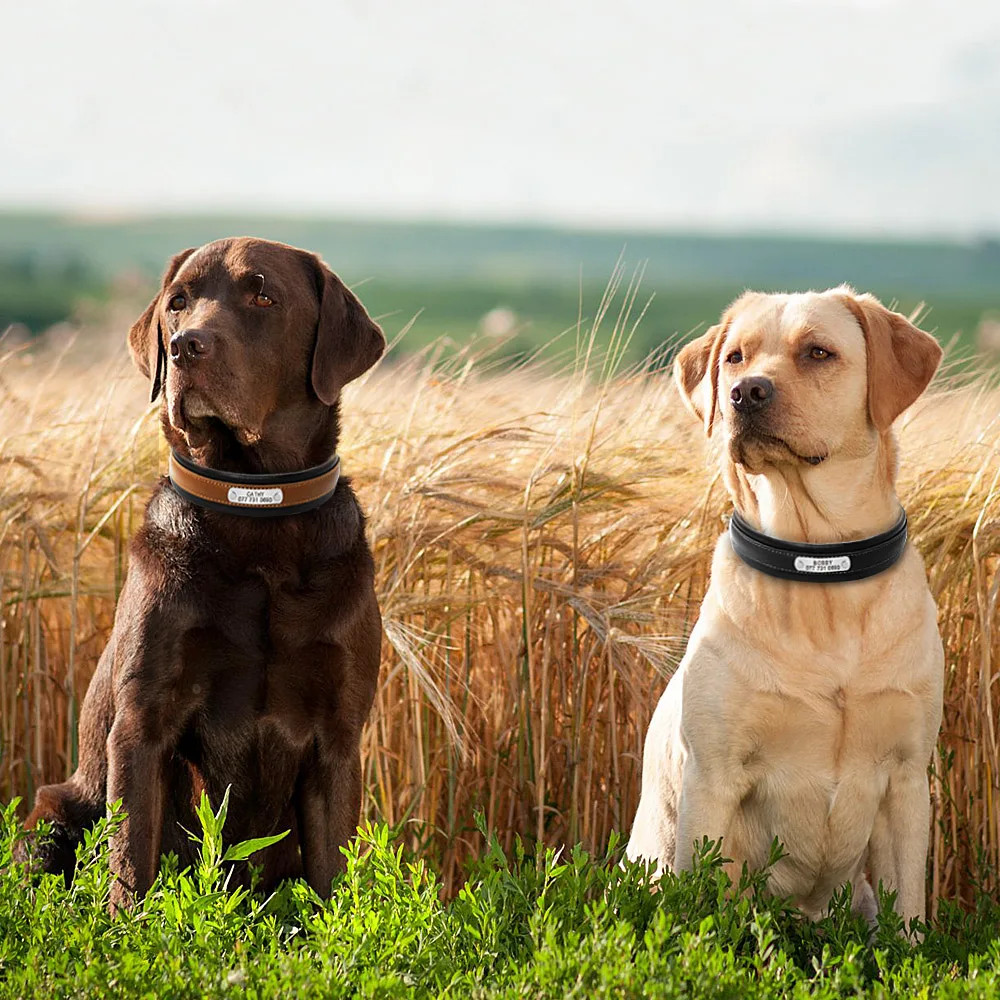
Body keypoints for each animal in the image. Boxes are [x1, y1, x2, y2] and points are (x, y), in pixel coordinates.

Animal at [21, 238, 386, 912]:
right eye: (177, 303)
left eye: (264, 295)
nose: (185, 346)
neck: (257, 515)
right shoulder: (142, 724)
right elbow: (131, 864)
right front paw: (125, 930)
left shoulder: (338, 739)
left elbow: (332, 883)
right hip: (53, 814)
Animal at [632, 284, 944, 920]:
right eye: (735, 358)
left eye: (818, 352)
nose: (745, 393)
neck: (819, 570)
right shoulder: (713, 776)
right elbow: (704, 913)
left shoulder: (906, 781)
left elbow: (910, 919)